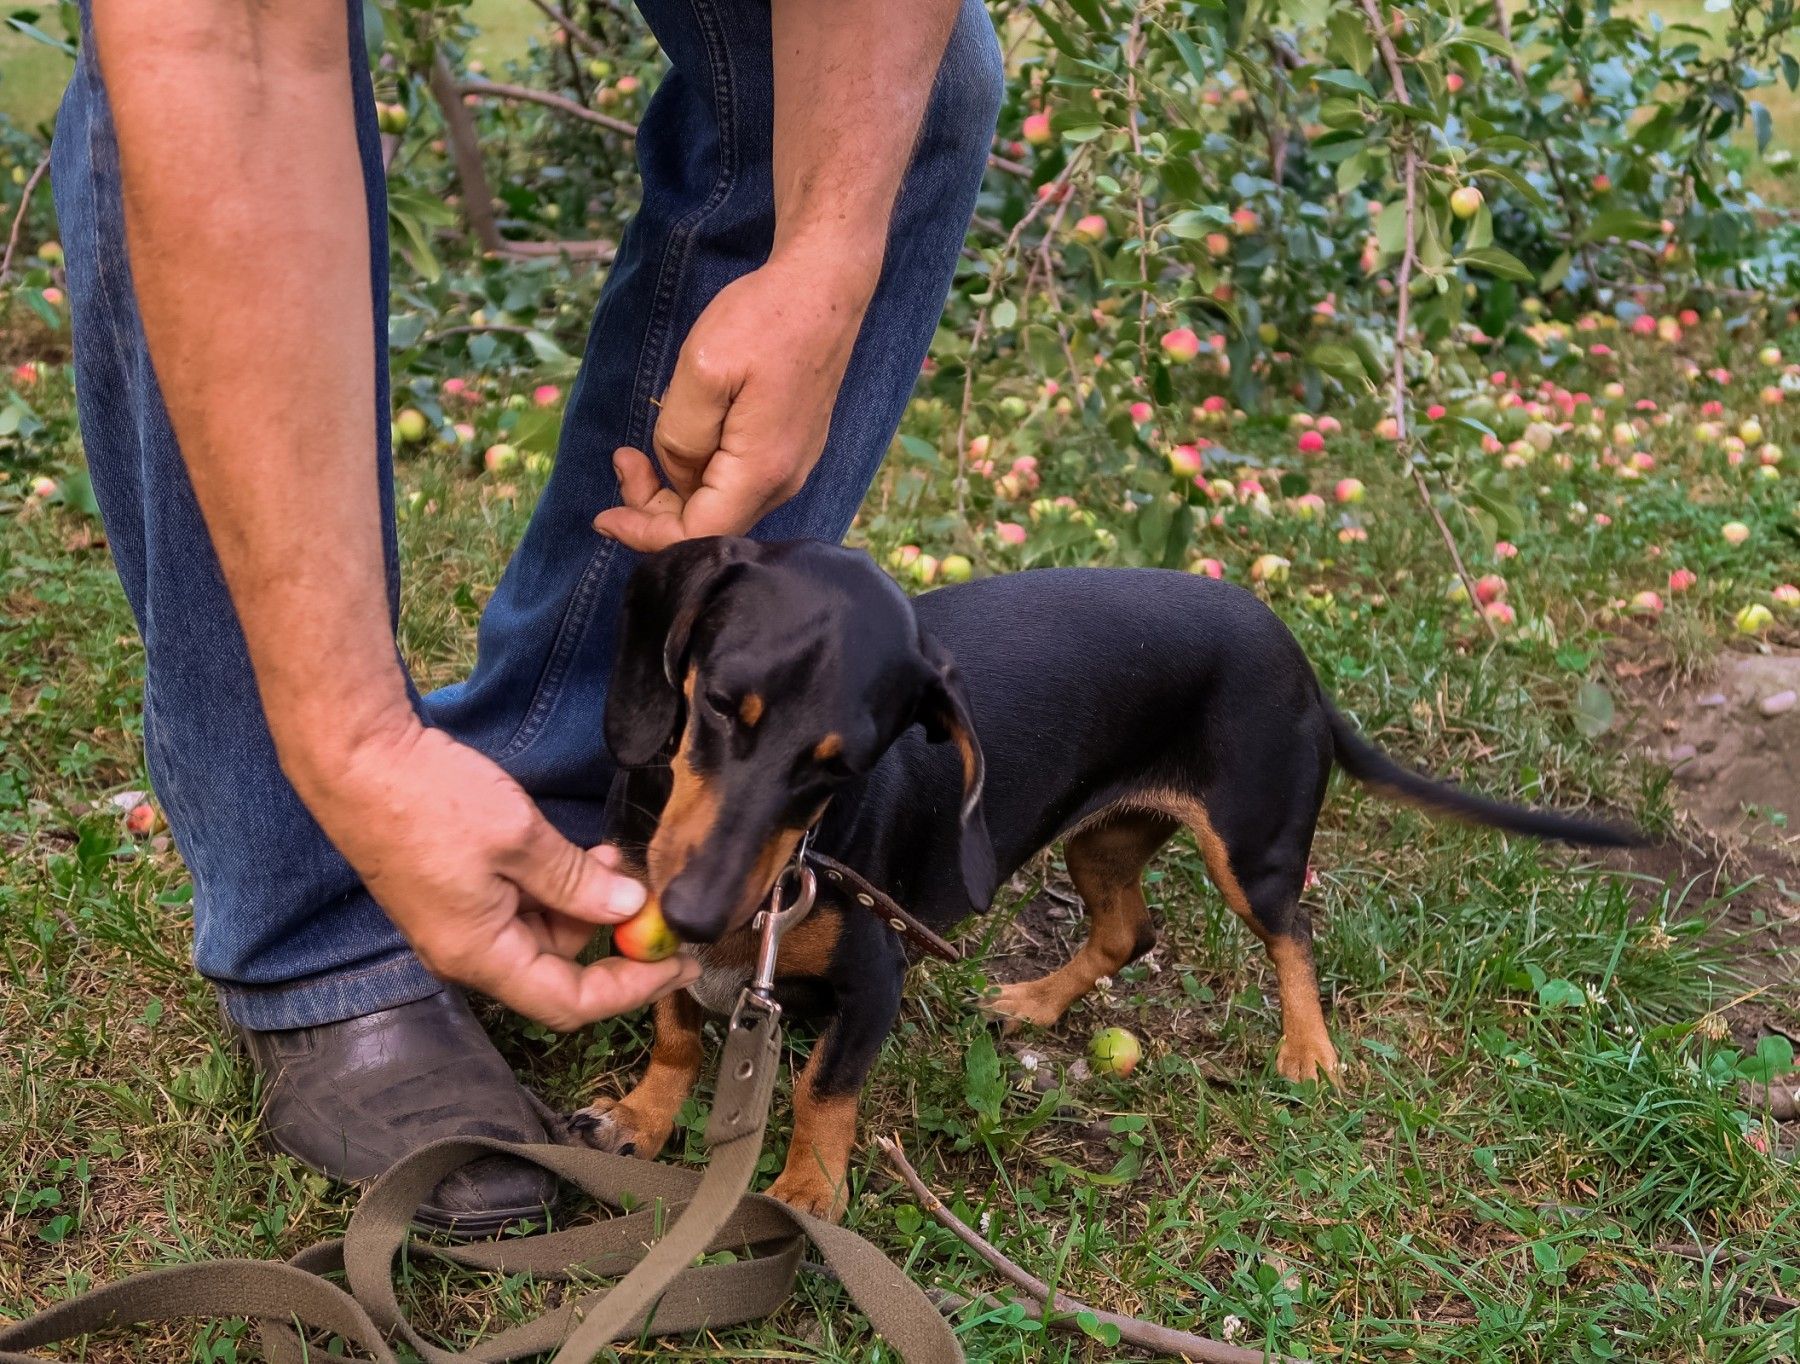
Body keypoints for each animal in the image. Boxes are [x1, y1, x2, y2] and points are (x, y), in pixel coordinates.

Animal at [568, 539, 1641, 1223]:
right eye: (718, 705)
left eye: (842, 766)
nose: (697, 911)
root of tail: (1299, 661)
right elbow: (676, 1031)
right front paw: (640, 1118)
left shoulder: (875, 982)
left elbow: (823, 1090)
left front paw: (805, 1194)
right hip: (1102, 839)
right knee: (1130, 930)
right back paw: (1037, 1004)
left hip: (1250, 850)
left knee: (1290, 931)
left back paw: (1307, 1049)